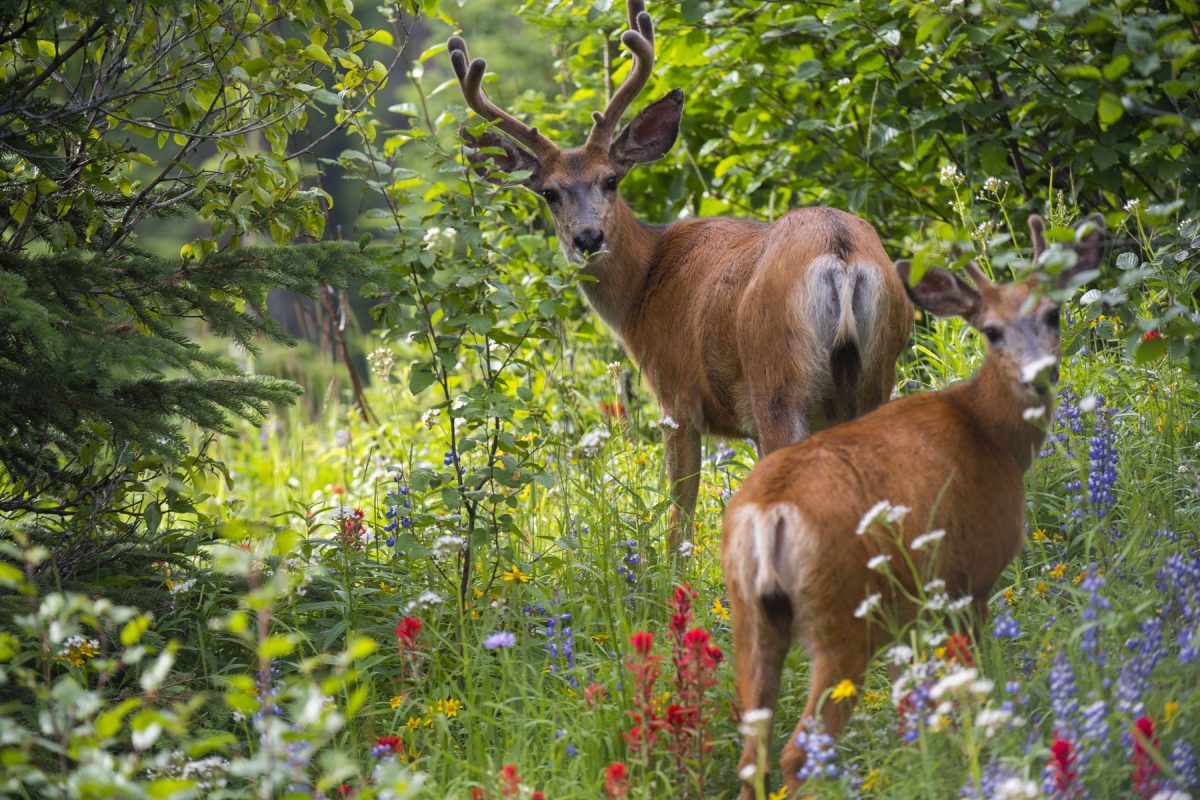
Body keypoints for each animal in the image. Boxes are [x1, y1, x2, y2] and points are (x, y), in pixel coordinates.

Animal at [448, 0, 907, 554]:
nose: (588, 238)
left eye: (610, 179)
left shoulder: (678, 396)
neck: (645, 283)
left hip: (778, 380)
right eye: (550, 193)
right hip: (876, 375)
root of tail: (840, 254)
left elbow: (678, 521)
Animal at [720, 215, 1104, 796]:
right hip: (843, 617)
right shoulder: (971, 577)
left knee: (752, 753)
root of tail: (769, 514)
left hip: (752, 615)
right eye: (991, 330)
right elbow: (973, 680)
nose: (1037, 374)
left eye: (1052, 314)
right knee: (796, 751)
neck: (989, 432)